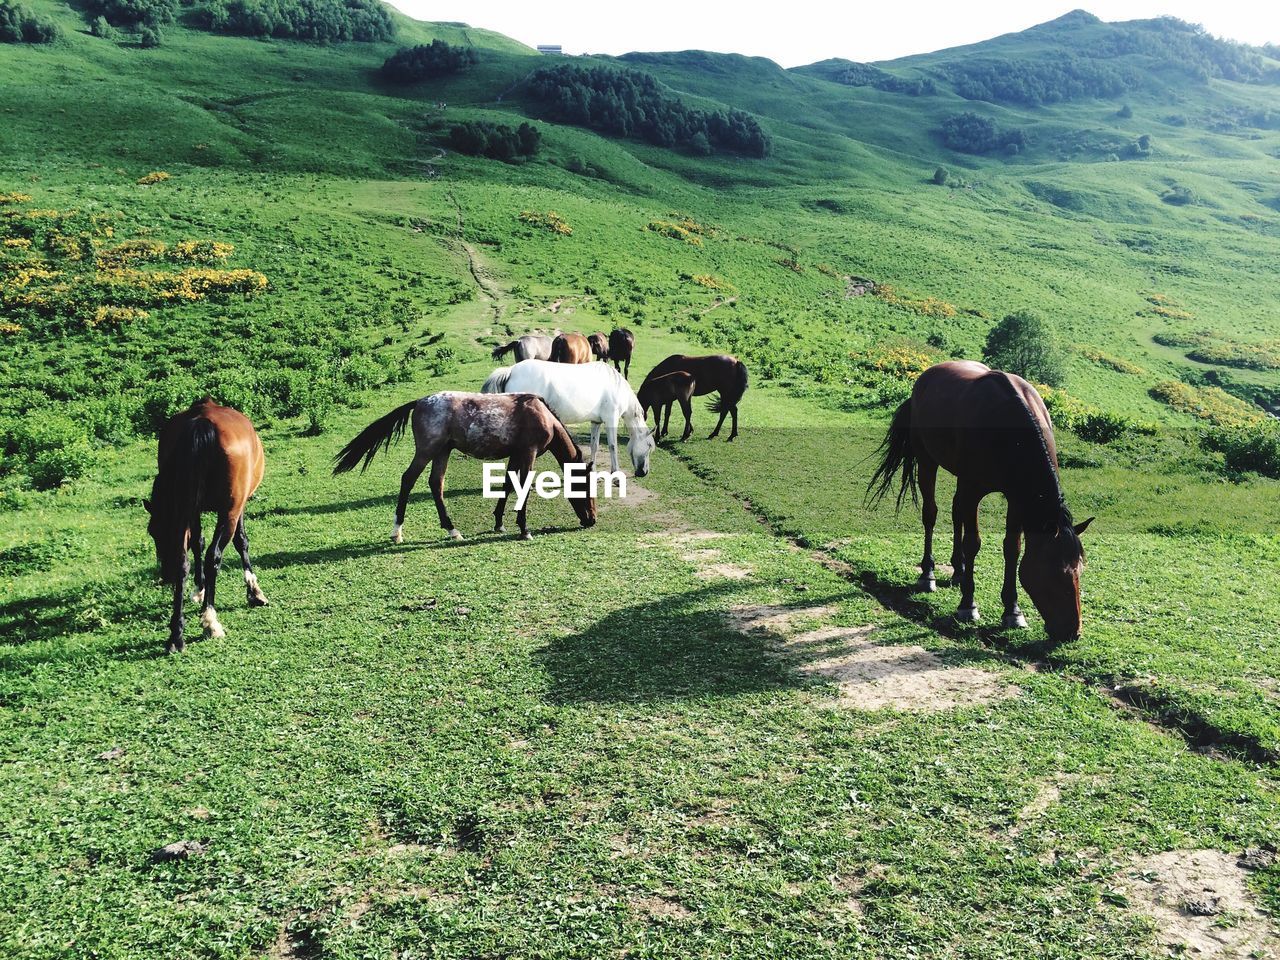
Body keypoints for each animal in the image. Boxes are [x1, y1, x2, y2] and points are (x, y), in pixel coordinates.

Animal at [144, 396, 266, 655]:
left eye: (154, 532)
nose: (165, 575)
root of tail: (202, 422)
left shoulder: (191, 512)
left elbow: (196, 543)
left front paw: (199, 590)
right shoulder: (237, 507)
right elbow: (241, 541)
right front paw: (253, 591)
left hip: (184, 510)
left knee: (184, 560)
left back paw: (176, 636)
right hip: (229, 512)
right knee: (214, 556)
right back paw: (211, 621)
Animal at [327, 391, 591, 542]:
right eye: (584, 489)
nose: (591, 520)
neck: (542, 415)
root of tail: (419, 402)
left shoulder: (516, 454)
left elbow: (507, 485)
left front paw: (499, 523)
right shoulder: (528, 453)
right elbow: (522, 486)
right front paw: (524, 529)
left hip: (442, 452)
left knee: (436, 483)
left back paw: (451, 529)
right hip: (427, 450)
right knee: (408, 479)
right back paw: (397, 532)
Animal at [483, 358, 655, 478]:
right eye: (648, 446)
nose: (644, 472)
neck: (616, 387)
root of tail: (511, 370)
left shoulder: (596, 422)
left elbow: (594, 446)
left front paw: (593, 470)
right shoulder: (611, 420)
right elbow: (613, 447)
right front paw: (616, 476)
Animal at [865, 360, 1095, 647]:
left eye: (1080, 570)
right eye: (1055, 574)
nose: (1072, 633)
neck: (1010, 431)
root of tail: (925, 378)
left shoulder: (1016, 499)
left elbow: (1012, 548)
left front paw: (1012, 611)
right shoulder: (973, 490)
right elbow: (973, 543)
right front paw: (968, 605)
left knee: (956, 512)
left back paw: (958, 571)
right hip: (928, 462)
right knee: (931, 514)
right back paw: (928, 575)